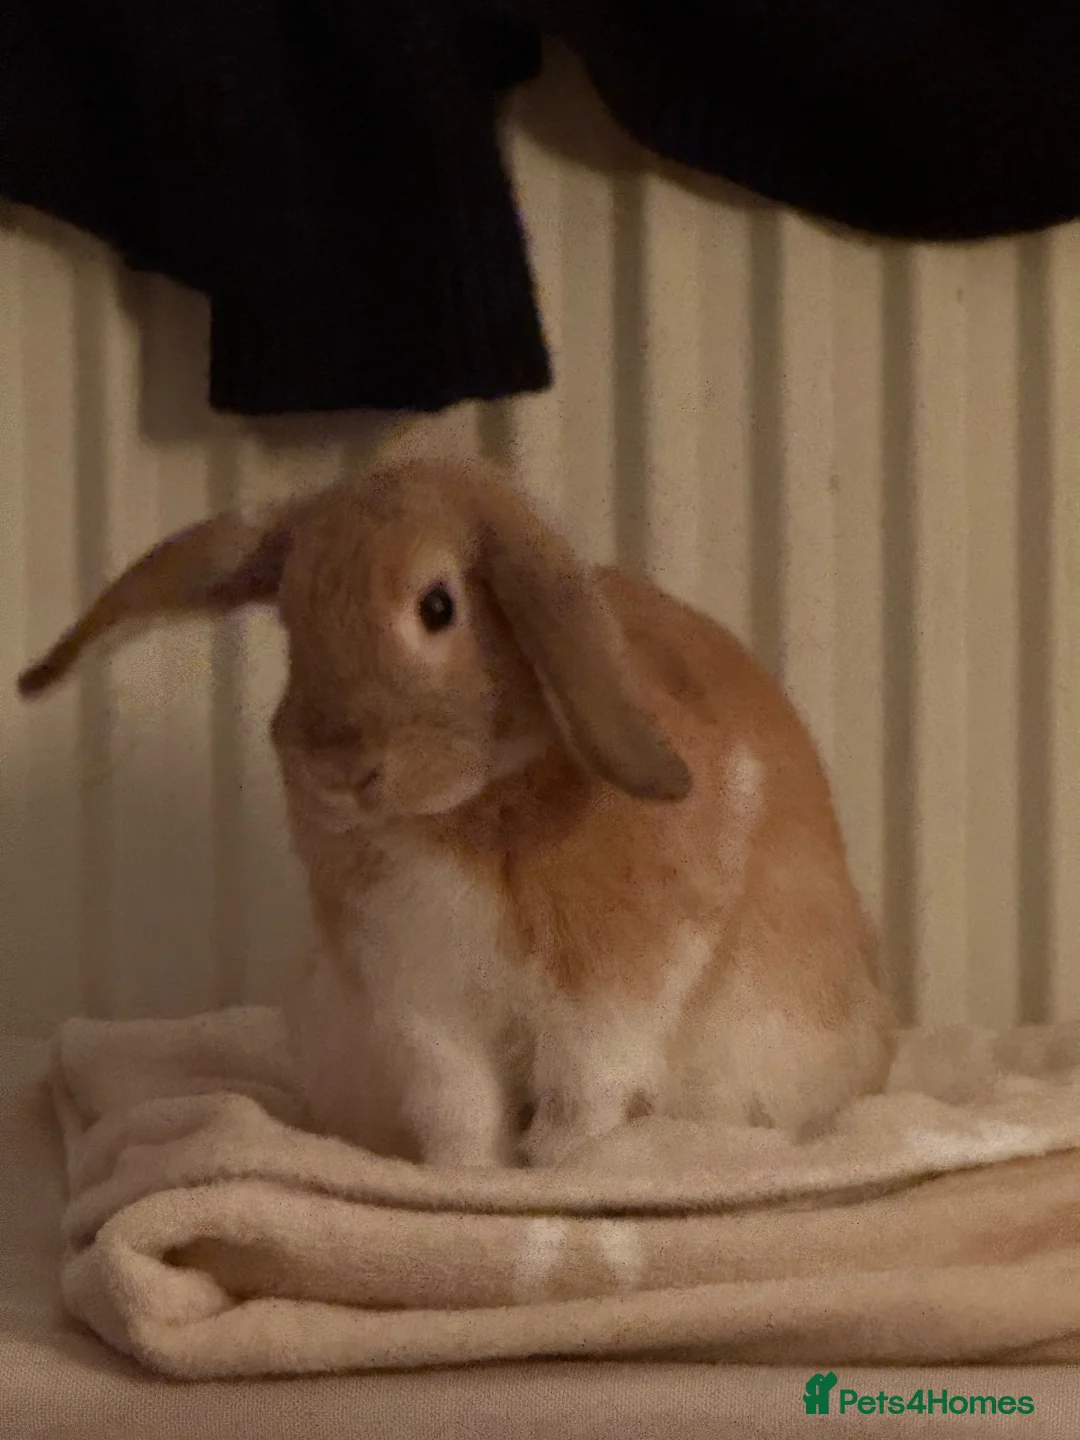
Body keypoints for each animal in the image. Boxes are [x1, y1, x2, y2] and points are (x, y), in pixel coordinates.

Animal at [18, 456, 895, 1168]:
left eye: (438, 606)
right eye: (292, 620)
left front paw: (556, 1164)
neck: (472, 808)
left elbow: (584, 1082)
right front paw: (466, 1176)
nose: (340, 767)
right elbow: (460, 1105)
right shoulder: (418, 998)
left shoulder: (617, 983)